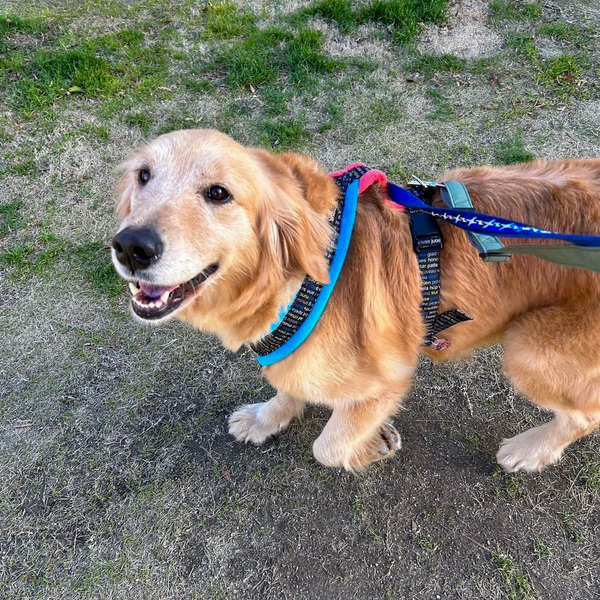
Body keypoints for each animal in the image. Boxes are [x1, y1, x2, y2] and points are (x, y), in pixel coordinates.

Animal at [112, 129, 600, 472]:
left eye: (218, 193)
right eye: (143, 175)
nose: (130, 246)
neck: (300, 280)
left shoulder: (388, 379)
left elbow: (328, 446)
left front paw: (375, 445)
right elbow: (288, 385)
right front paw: (265, 419)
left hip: (529, 349)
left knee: (584, 416)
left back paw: (528, 451)